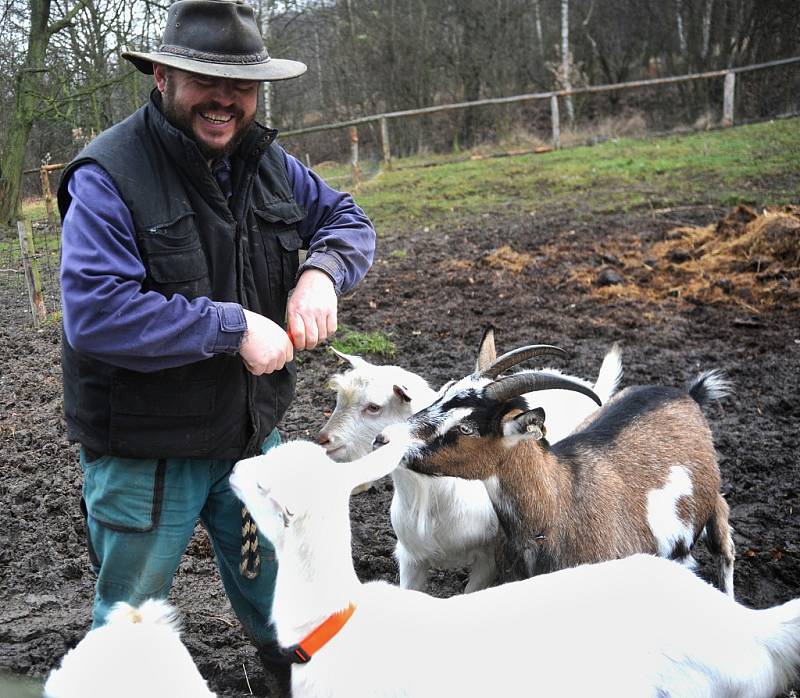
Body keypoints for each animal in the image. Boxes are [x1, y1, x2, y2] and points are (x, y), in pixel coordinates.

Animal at [318, 338, 624, 592]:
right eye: (337, 399)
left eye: (374, 407)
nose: (324, 439)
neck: (433, 498)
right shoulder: (410, 560)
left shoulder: (487, 561)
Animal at [378, 356, 736, 596]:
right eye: (443, 394)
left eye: (466, 428)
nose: (385, 439)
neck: (557, 505)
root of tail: (686, 394)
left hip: (712, 503)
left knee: (725, 546)